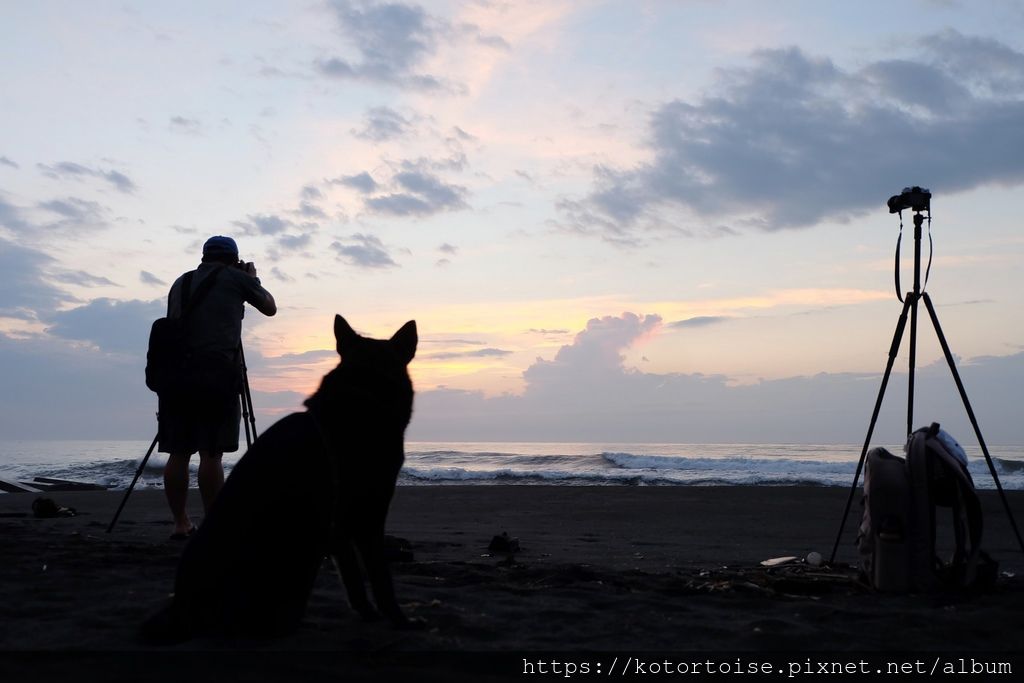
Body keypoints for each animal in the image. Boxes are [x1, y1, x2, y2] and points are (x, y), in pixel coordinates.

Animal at [142, 315, 417, 643]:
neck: (362, 394)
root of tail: (183, 608)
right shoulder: (368, 518)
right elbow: (381, 579)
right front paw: (401, 620)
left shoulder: (339, 527)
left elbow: (352, 577)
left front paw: (368, 613)